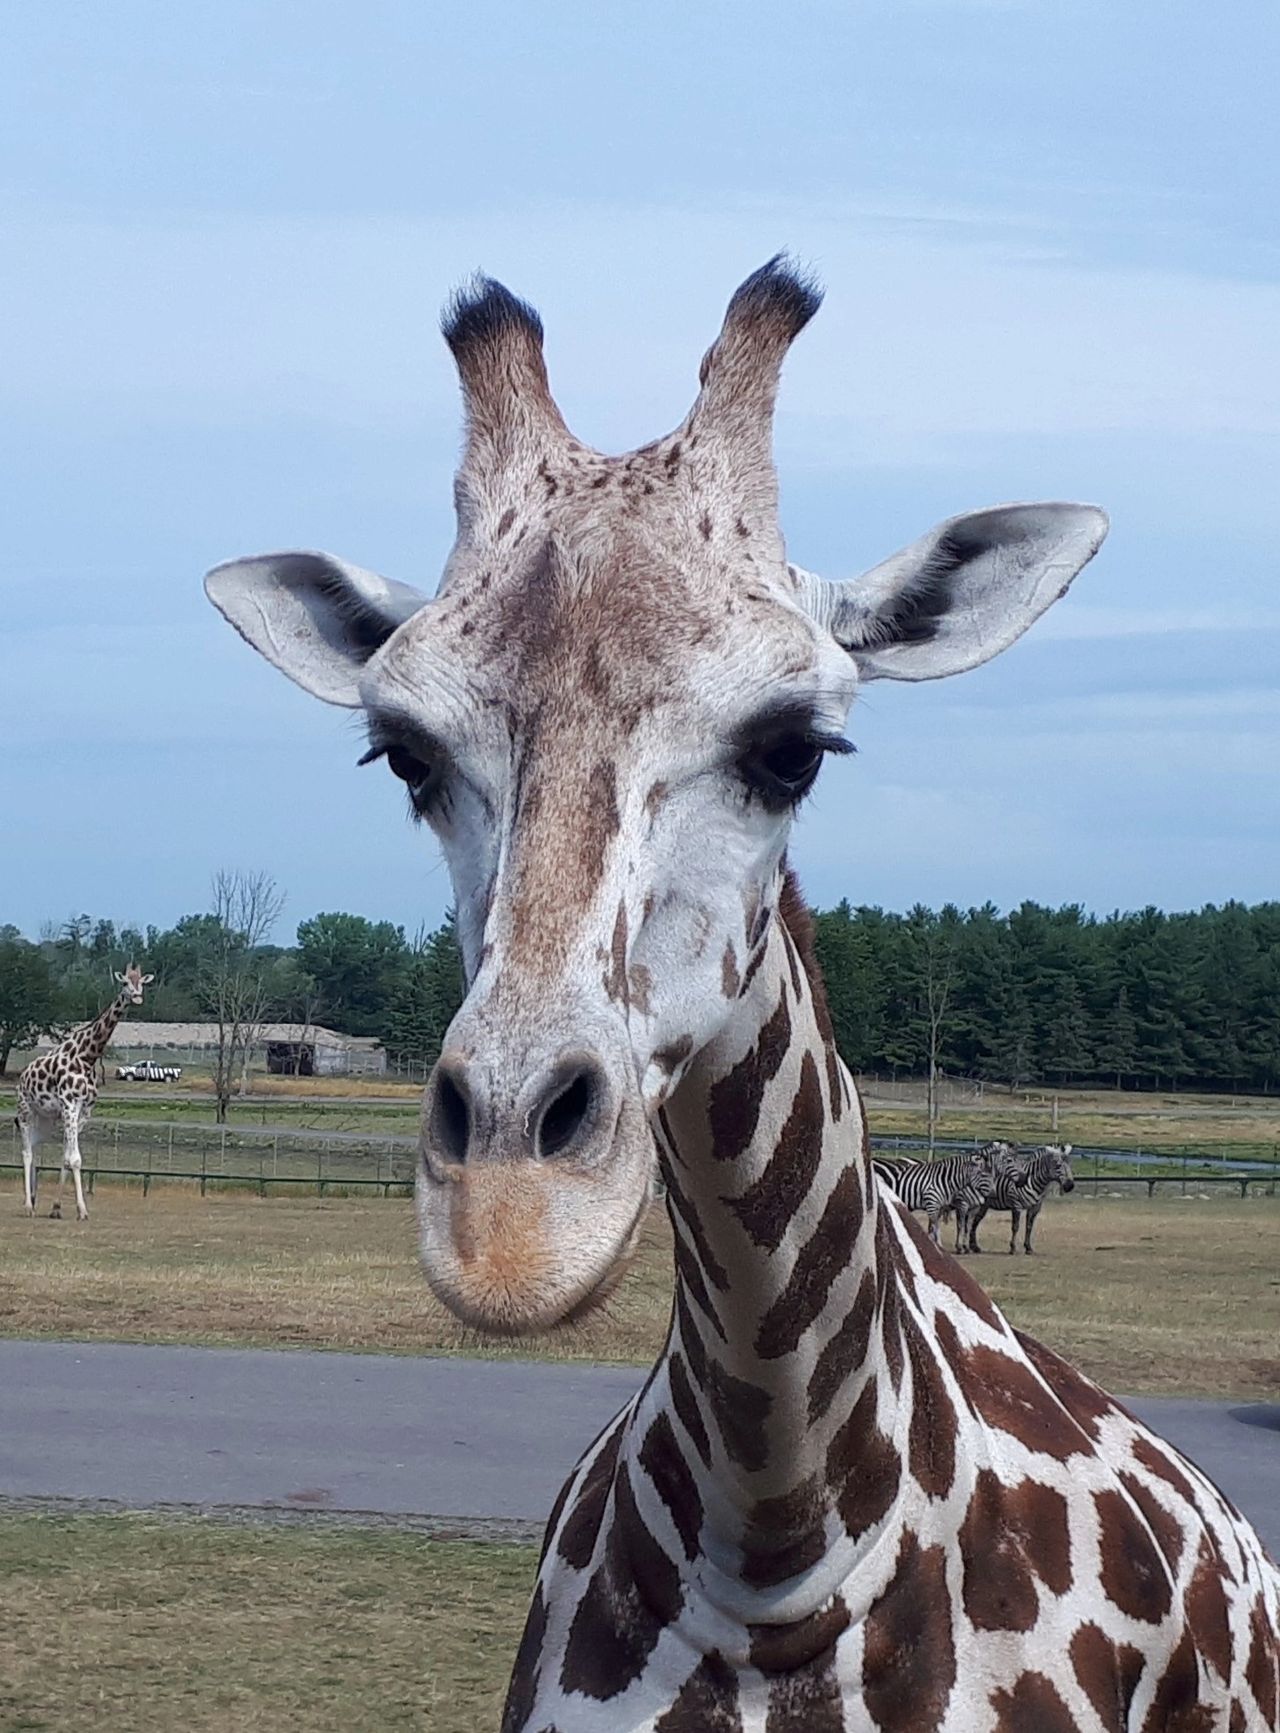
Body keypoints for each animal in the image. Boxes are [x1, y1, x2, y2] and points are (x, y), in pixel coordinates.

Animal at [15, 963, 152, 1220]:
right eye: (125, 982)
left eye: (141, 982)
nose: (137, 997)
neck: (87, 1056)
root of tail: (21, 1076)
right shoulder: (70, 1105)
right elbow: (75, 1159)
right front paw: (82, 1210)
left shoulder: (85, 1111)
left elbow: (67, 1157)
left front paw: (56, 1208)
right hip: (25, 1109)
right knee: (26, 1151)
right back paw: (27, 1206)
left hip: (46, 1118)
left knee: (35, 1146)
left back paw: (35, 1200)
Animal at [869, 1150, 1004, 1247]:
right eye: (983, 1174)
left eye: (993, 1174)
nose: (994, 1193)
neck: (943, 1180)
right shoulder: (934, 1203)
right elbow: (936, 1226)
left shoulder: (939, 1206)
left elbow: (938, 1227)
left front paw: (939, 1245)